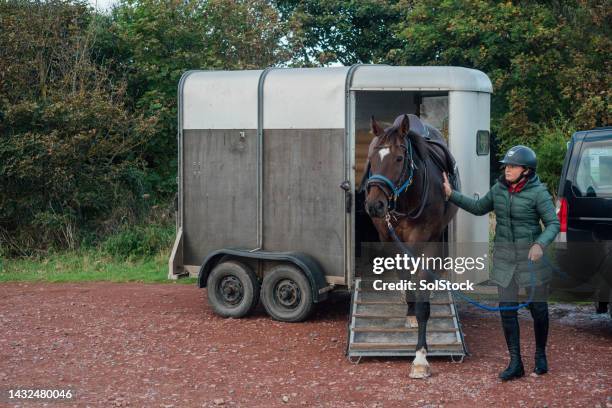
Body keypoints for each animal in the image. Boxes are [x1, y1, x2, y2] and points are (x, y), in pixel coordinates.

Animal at [364, 113, 460, 378]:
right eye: (372, 158)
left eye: (399, 158)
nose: (375, 205)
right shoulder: (388, 240)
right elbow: (404, 275)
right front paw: (409, 310)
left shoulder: (428, 242)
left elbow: (423, 302)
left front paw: (420, 358)